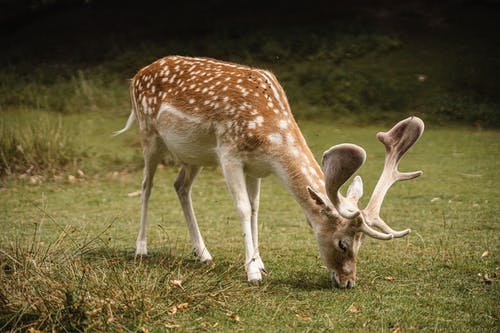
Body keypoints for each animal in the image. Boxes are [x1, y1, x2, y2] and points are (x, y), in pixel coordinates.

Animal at [115, 55, 424, 286]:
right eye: (343, 244)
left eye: (362, 244)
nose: (348, 282)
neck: (270, 139)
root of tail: (138, 73)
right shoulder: (229, 153)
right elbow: (241, 208)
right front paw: (252, 273)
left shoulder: (257, 167)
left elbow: (255, 209)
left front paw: (260, 263)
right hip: (149, 133)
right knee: (146, 186)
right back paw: (141, 248)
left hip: (193, 155)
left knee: (180, 186)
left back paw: (202, 252)